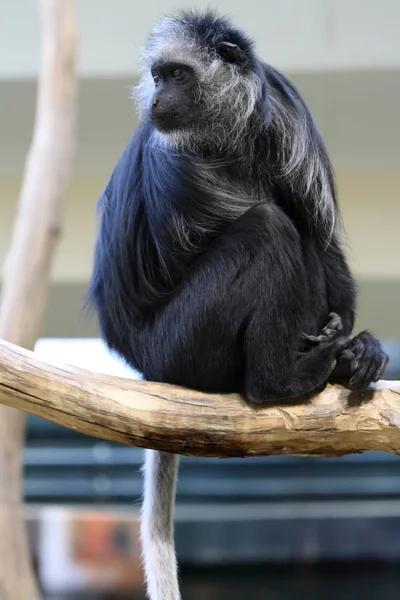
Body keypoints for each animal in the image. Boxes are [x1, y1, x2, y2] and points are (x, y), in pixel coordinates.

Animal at [86, 10, 388, 600]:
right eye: (158, 76)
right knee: (268, 228)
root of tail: (143, 363)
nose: (159, 99)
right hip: (180, 345)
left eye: (177, 75)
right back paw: (280, 379)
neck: (230, 132)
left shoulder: (286, 117)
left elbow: (319, 235)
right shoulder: (173, 155)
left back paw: (338, 358)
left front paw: (356, 344)